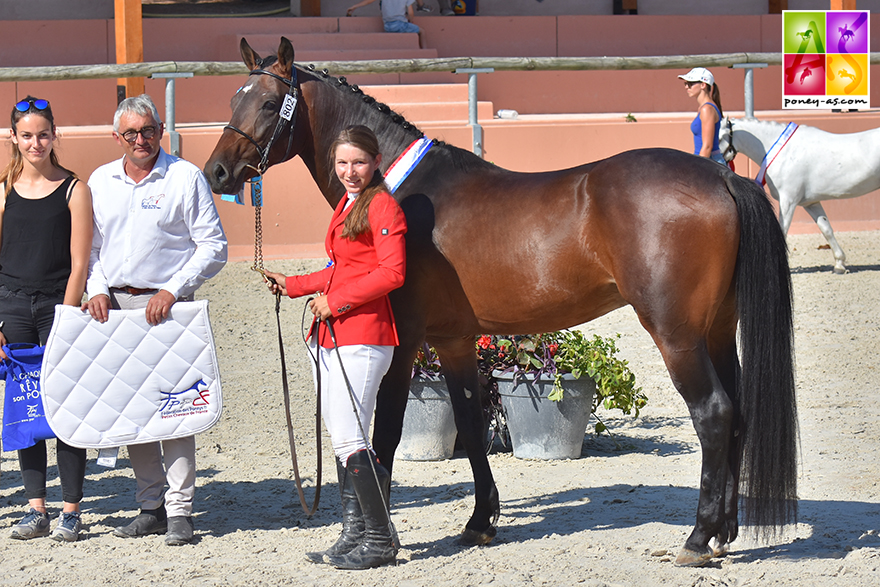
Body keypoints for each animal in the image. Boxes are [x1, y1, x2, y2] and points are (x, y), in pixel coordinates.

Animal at [205, 38, 796, 568]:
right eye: (232, 98)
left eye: (266, 102)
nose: (217, 173)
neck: (398, 188)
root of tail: (719, 175)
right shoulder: (453, 338)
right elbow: (469, 423)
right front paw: (480, 522)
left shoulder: (405, 337)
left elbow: (387, 432)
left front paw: (381, 542)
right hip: (715, 329)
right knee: (737, 411)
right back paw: (724, 533)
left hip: (676, 333)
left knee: (714, 413)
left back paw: (697, 539)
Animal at [720, 116, 880, 274]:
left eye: (719, 137)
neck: (785, 152)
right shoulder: (810, 203)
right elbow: (826, 229)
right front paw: (839, 265)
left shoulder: (788, 201)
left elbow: (782, 231)